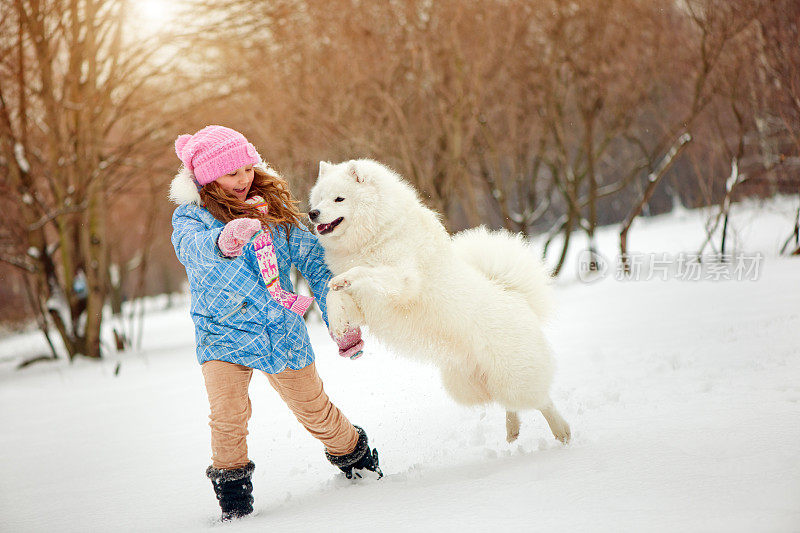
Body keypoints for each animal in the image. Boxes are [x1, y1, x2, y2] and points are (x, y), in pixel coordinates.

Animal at [310, 160, 572, 442]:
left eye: (339, 198)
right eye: (320, 198)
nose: (313, 213)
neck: (376, 233)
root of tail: (517, 296)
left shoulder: (403, 280)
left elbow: (362, 271)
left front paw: (346, 278)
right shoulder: (365, 306)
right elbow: (333, 294)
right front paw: (338, 321)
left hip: (514, 377)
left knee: (540, 400)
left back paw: (562, 432)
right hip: (467, 387)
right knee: (508, 402)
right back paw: (513, 431)